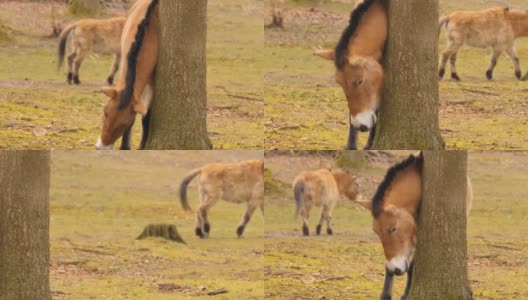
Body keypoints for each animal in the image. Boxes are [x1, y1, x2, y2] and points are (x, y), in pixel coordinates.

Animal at [96, 0, 159, 150]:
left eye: (124, 124)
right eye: (105, 113)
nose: (101, 147)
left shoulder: (153, 84)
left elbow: (146, 117)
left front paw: (142, 146)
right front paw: (125, 146)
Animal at [356, 155, 472, 300]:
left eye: (393, 228)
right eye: (376, 232)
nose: (395, 269)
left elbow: (411, 267)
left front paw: (405, 294)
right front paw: (385, 295)